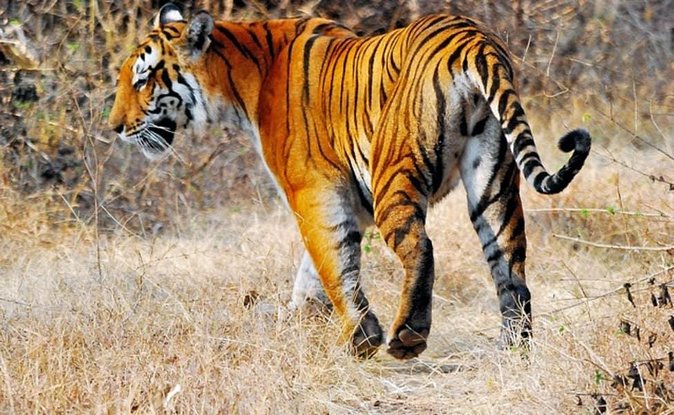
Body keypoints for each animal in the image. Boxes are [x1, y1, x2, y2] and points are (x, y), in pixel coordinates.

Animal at [109, 3, 591, 359]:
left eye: (143, 79)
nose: (114, 127)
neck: (239, 80)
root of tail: (472, 38)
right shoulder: (346, 200)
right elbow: (313, 271)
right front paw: (299, 320)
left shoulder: (313, 191)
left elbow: (333, 263)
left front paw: (360, 339)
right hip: (492, 180)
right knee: (510, 265)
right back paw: (515, 350)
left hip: (393, 171)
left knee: (421, 248)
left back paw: (407, 337)